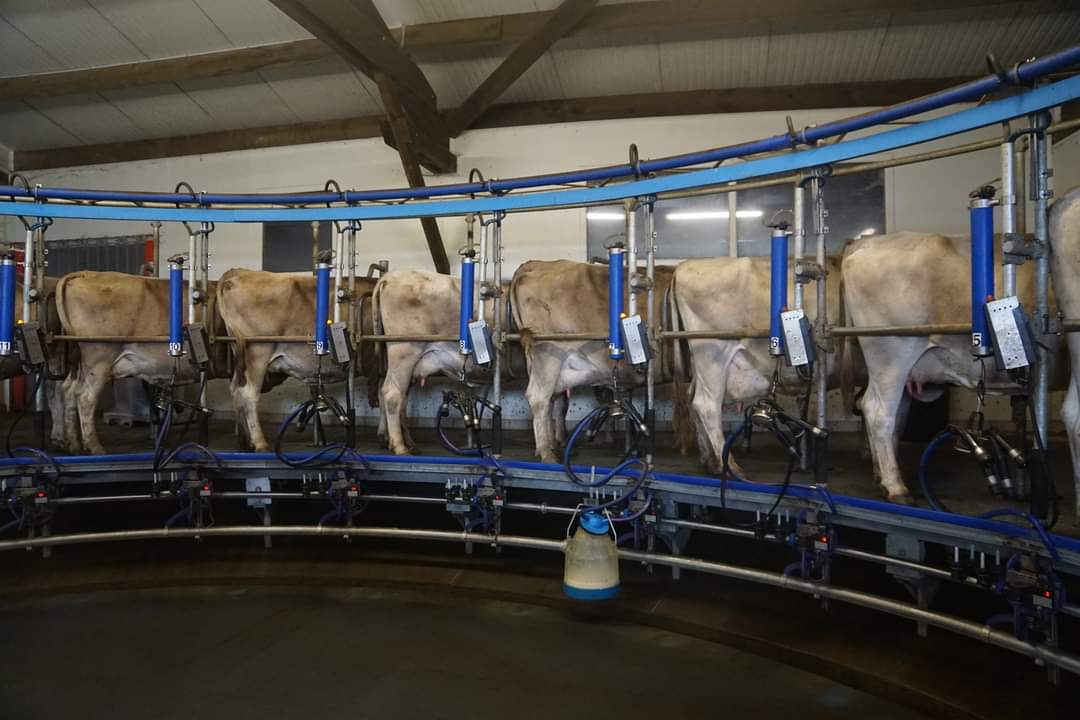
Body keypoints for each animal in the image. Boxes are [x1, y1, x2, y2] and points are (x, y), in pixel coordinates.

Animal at [56, 271, 229, 455]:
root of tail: (86, 273)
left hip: (80, 362)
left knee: (69, 390)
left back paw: (73, 445)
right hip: (99, 356)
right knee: (85, 397)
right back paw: (95, 448)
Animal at [216, 269, 379, 452]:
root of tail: (239, 272)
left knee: (236, 390)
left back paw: (244, 441)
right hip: (257, 353)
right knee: (248, 394)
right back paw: (259, 442)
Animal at [671, 257, 842, 475]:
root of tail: (682, 266)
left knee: (693, 397)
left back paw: (711, 462)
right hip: (712, 356)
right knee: (706, 405)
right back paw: (732, 468)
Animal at [842, 231, 1067, 503]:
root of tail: (866, 242)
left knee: (891, 417)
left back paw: (883, 475)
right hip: (891, 353)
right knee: (878, 412)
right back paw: (896, 487)